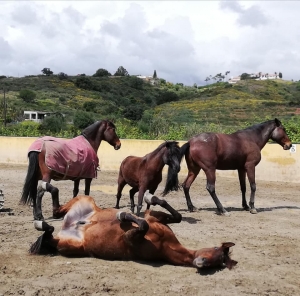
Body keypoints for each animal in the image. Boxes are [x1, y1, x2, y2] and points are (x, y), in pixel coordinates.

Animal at [29, 192, 238, 270]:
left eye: (219, 263)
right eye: (217, 250)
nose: (202, 263)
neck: (165, 244)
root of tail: (69, 225)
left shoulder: (130, 238)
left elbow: (142, 225)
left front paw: (124, 215)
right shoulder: (154, 218)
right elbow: (172, 215)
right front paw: (142, 202)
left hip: (68, 246)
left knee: (49, 234)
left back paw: (42, 224)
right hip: (85, 199)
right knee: (56, 211)